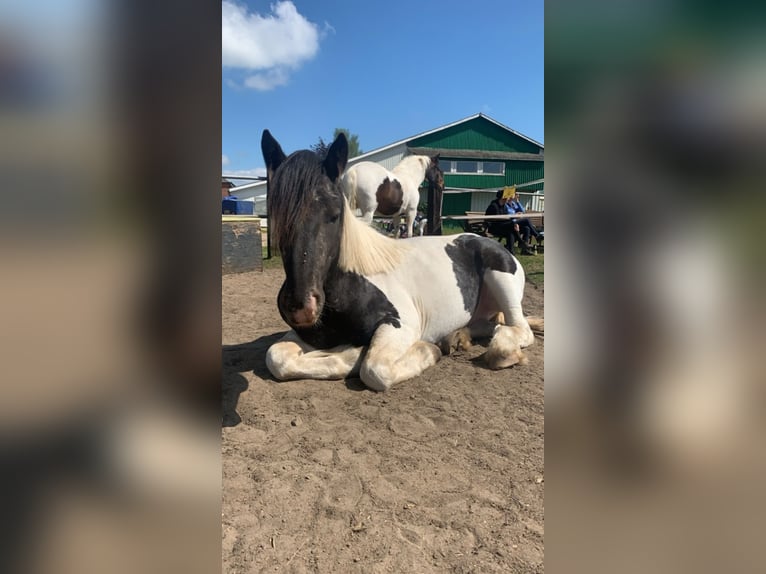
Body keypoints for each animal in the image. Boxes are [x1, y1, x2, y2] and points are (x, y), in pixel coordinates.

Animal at [260, 130, 544, 392]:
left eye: (335, 214)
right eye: (276, 213)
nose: (300, 307)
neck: (351, 284)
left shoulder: (401, 325)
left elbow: (374, 370)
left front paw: (422, 351)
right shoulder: (305, 334)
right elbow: (276, 357)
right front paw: (349, 354)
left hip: (502, 281)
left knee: (517, 329)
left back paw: (496, 351)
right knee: (489, 324)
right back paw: (455, 338)